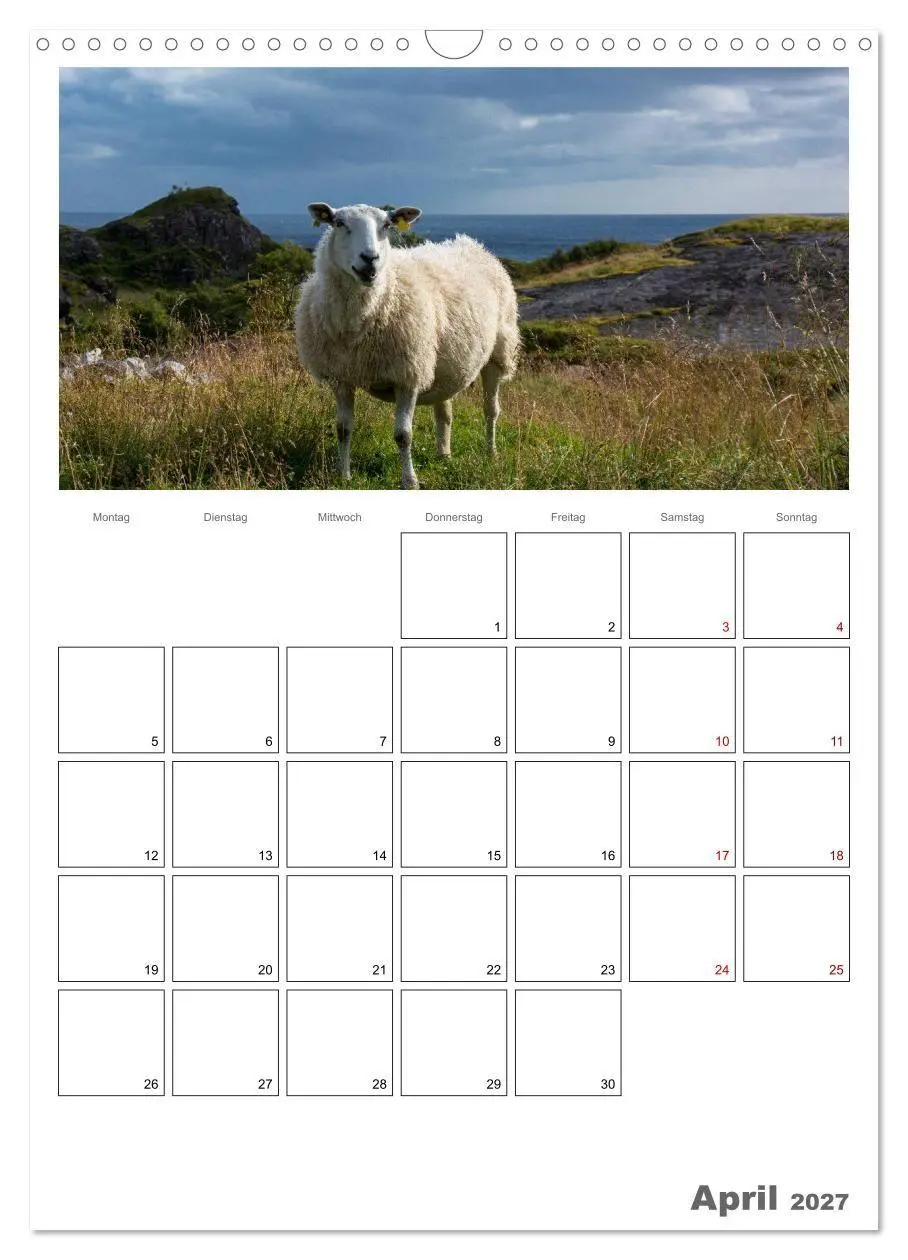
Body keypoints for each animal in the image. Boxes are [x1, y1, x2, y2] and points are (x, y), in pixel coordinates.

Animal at [294, 202, 519, 489]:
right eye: (338, 223)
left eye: (387, 225)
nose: (370, 258)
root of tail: (472, 244)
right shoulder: (341, 377)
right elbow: (343, 430)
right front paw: (343, 476)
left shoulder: (408, 377)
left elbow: (403, 435)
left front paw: (409, 481)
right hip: (446, 364)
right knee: (444, 410)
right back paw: (444, 454)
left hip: (498, 351)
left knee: (490, 410)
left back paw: (490, 452)